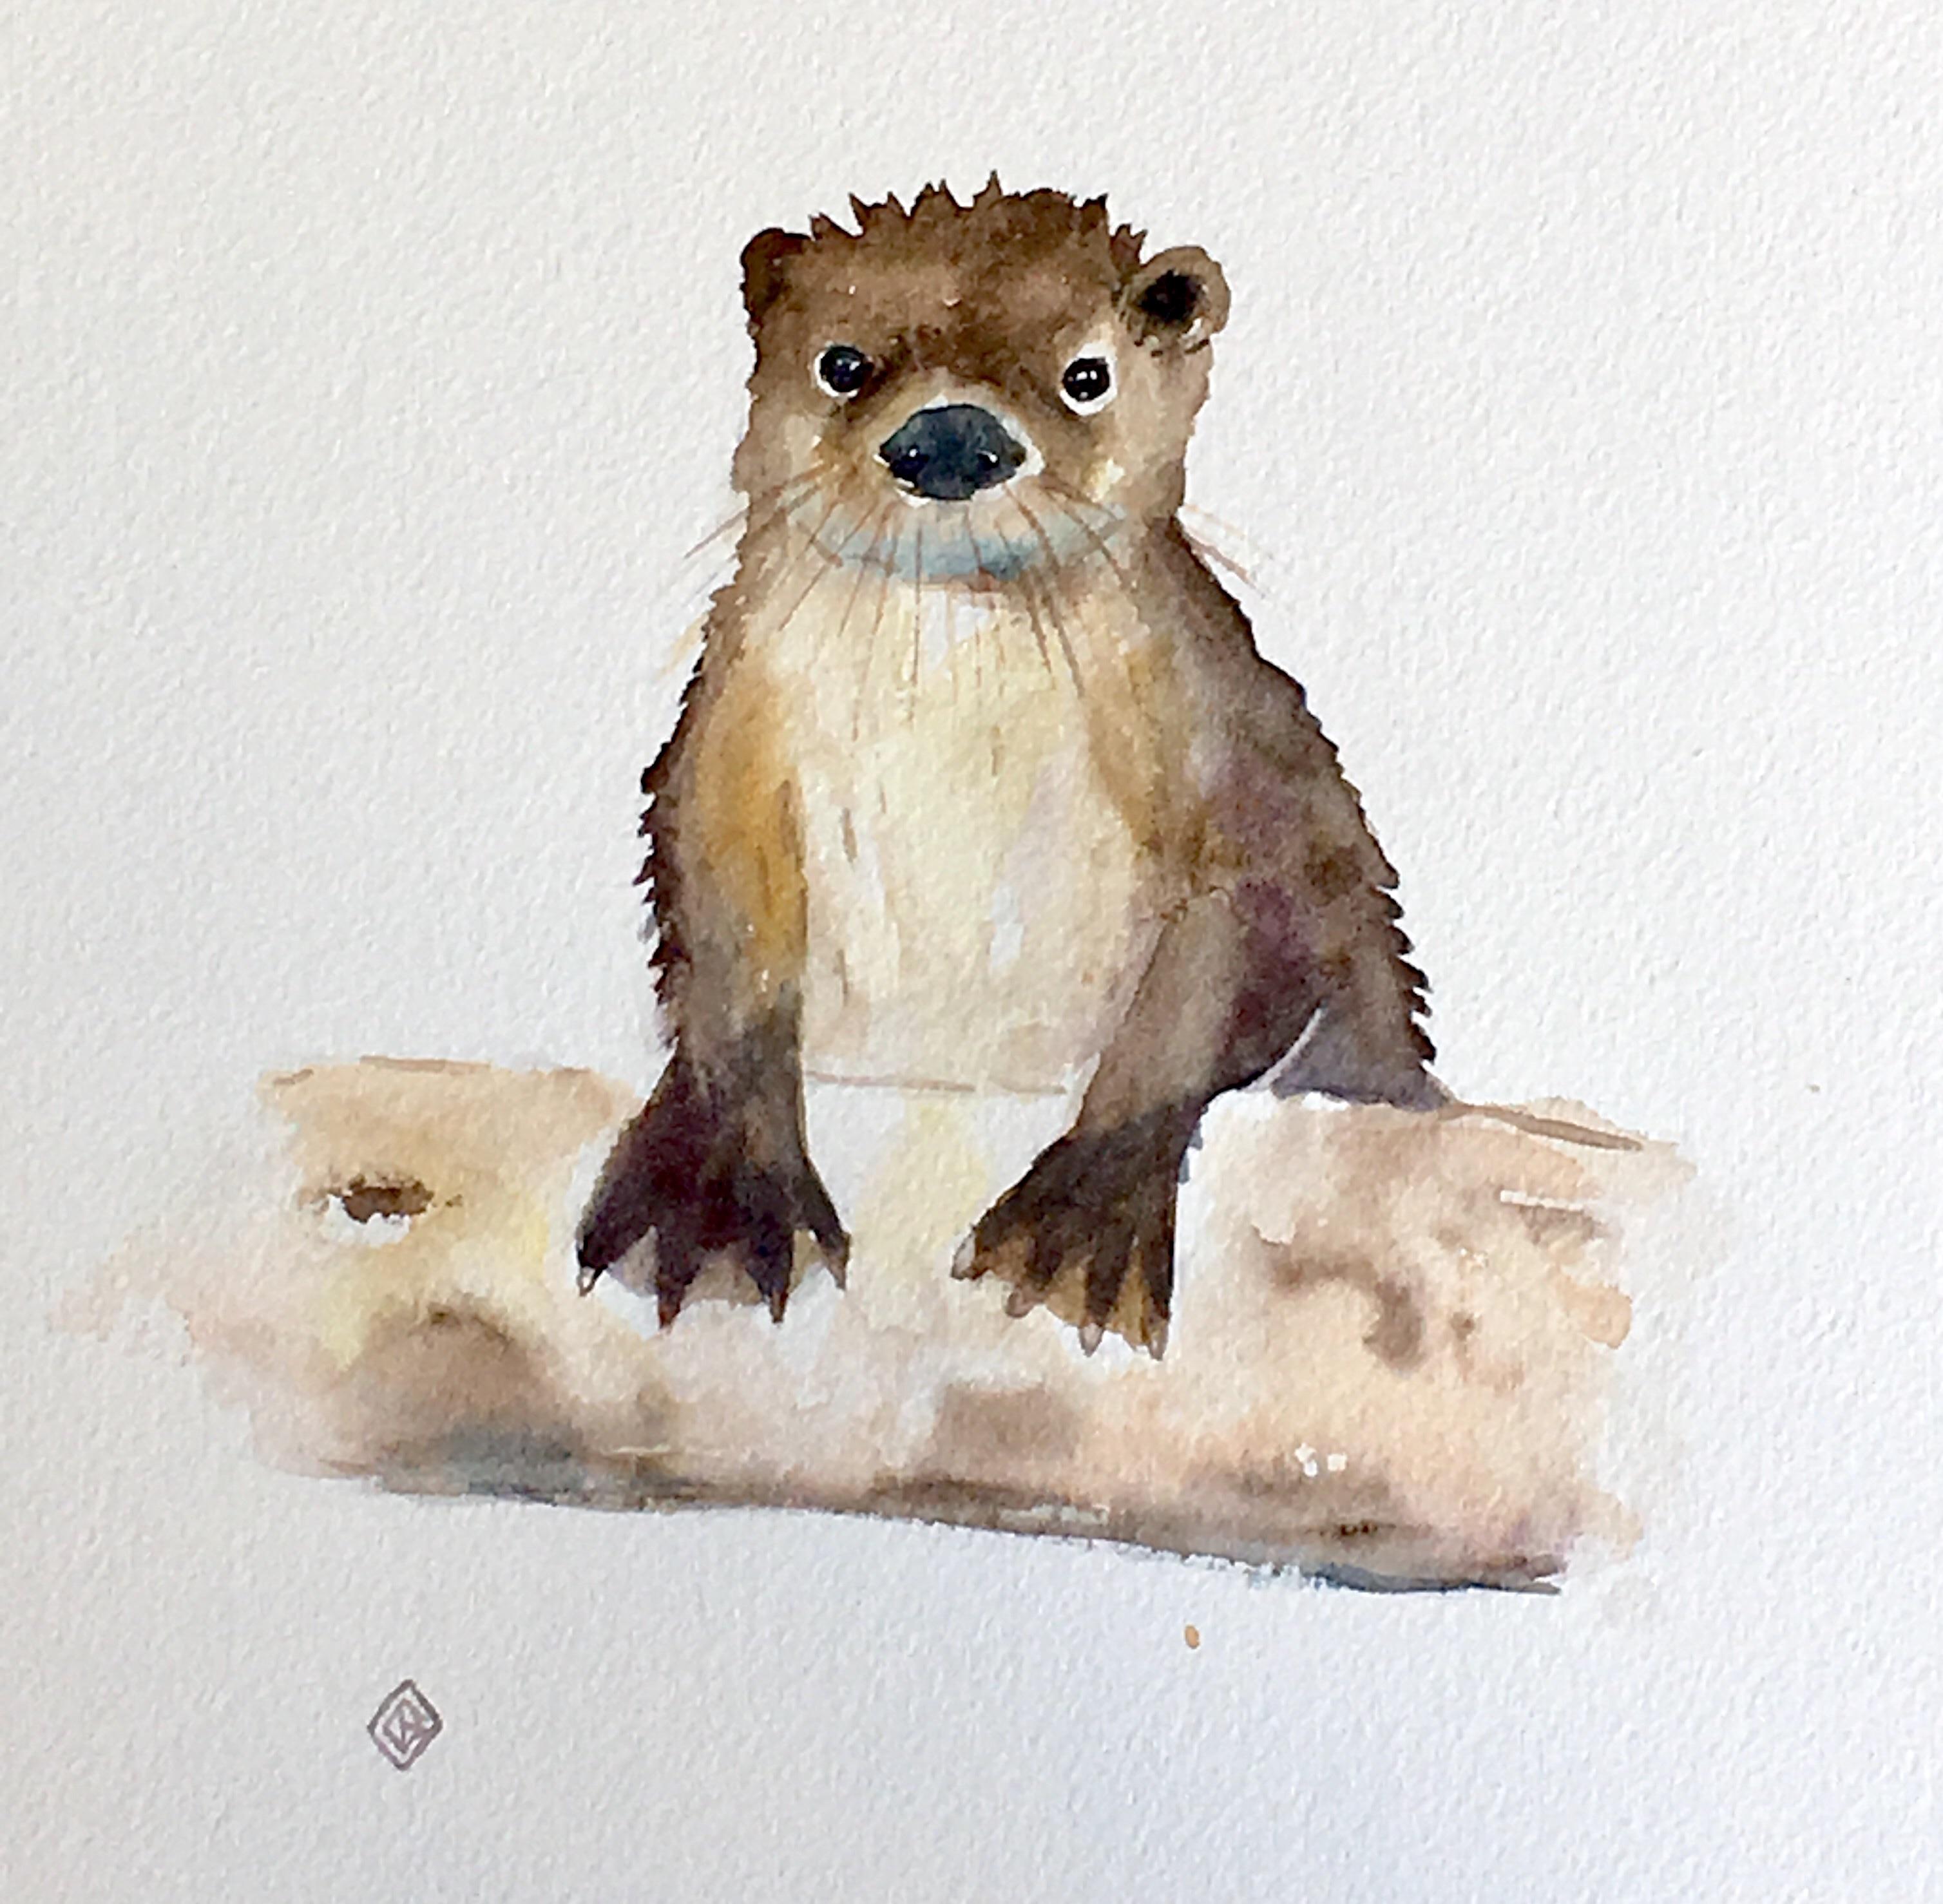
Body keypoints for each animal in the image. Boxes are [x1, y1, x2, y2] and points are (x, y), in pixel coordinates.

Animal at [577, 182, 1438, 1356]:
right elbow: (729, 966)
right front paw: (712, 1194)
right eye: (843, 362)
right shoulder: (721, 771)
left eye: (1086, 375)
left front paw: (1079, 1222)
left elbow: (1200, 993)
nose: (952, 438)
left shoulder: (1258, 793)